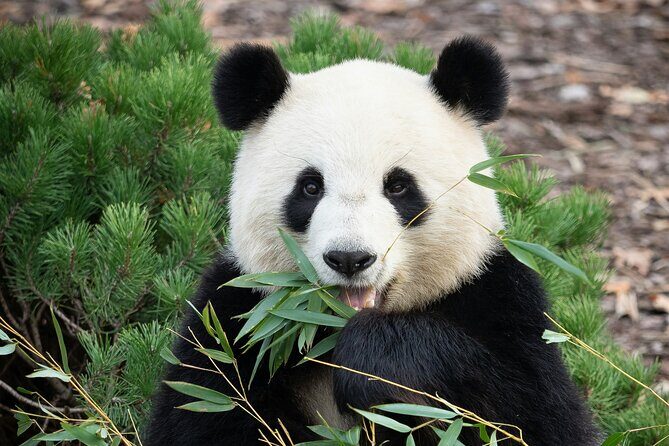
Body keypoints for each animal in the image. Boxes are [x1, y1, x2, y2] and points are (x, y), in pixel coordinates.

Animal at [146, 37, 599, 445]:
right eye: (310, 187)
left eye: (398, 186)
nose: (349, 258)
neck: (328, 332)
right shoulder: (236, 318)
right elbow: (202, 412)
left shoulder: (496, 294)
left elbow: (531, 413)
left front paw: (373, 362)